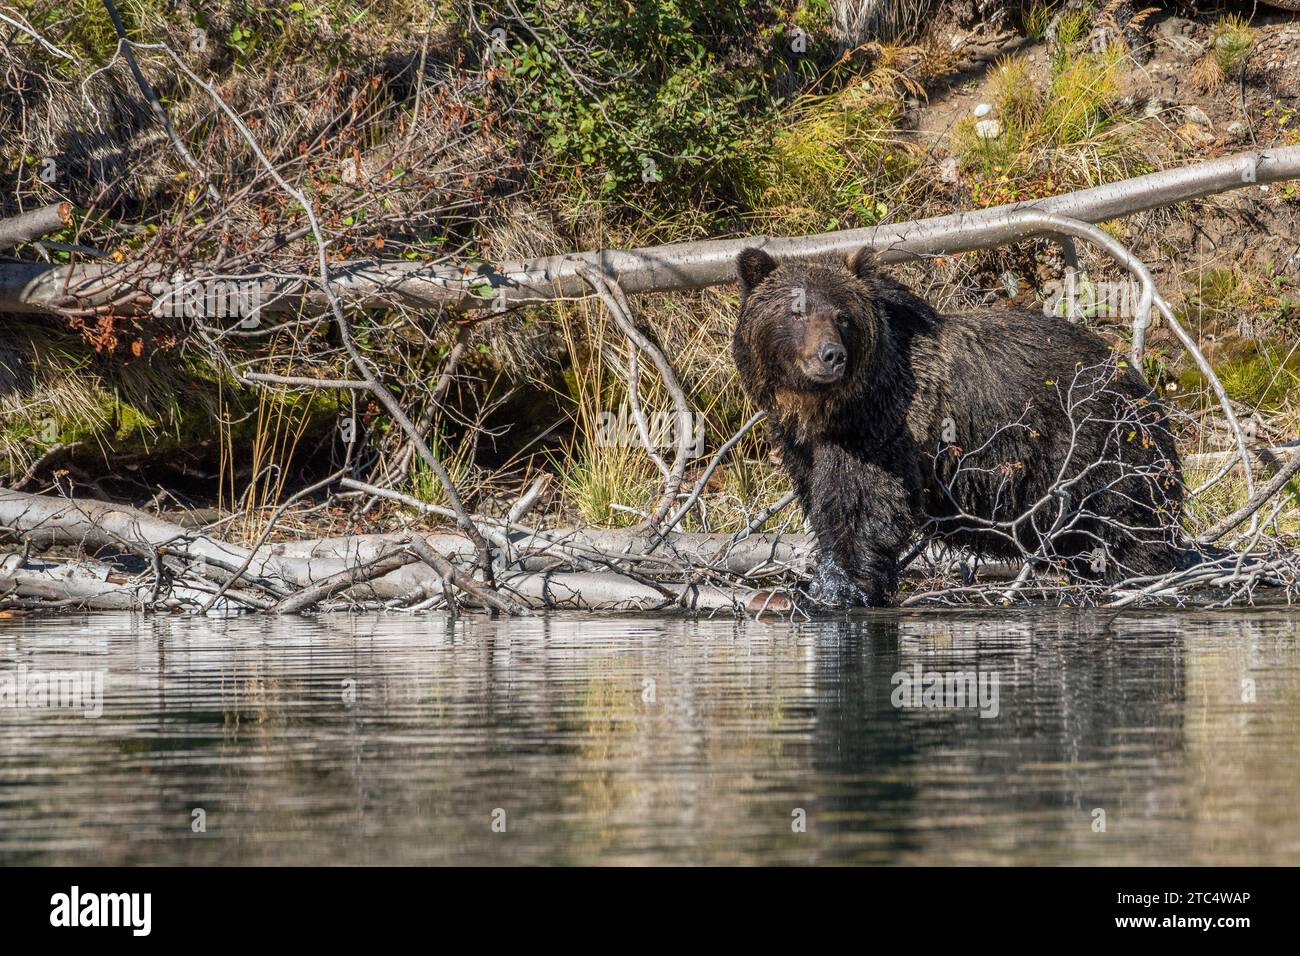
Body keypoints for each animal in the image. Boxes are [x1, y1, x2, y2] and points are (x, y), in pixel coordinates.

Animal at [733, 247, 1190, 606]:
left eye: (843, 316)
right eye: (797, 312)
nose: (831, 355)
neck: (825, 410)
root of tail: (1139, 383)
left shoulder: (882, 430)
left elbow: (862, 507)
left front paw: (838, 589)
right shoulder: (804, 445)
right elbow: (824, 499)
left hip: (1101, 449)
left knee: (1131, 527)